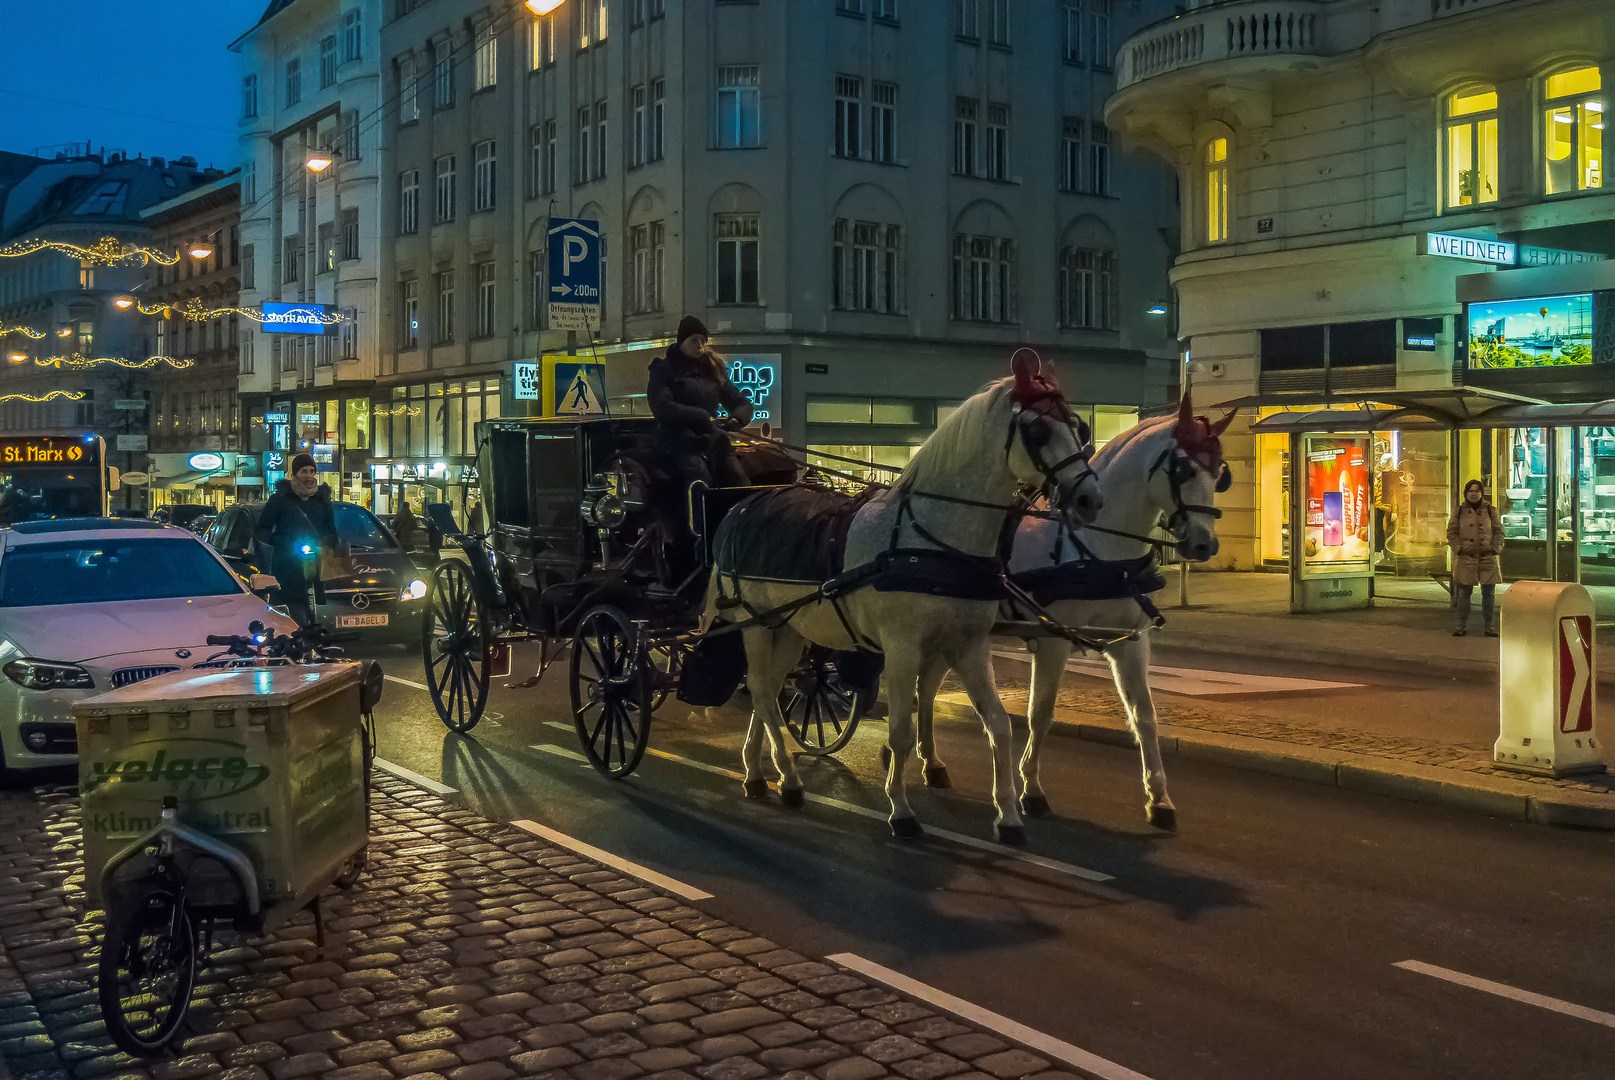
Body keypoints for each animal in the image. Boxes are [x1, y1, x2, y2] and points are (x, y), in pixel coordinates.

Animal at [700, 351, 1104, 839]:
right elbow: (900, 732)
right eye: (1039, 430)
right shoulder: (901, 648)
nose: (1089, 499)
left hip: (791, 628)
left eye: (1079, 427)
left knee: (771, 691)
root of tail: (742, 505)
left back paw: (758, 772)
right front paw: (902, 810)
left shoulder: (968, 645)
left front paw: (1008, 814)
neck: (931, 536)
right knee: (761, 689)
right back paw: (788, 780)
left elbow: (998, 724)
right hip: (756, 623)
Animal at [910, 393, 1233, 826]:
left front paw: (1159, 798)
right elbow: (1040, 714)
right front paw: (1031, 789)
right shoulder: (1053, 641)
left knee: (927, 685)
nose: (1203, 544)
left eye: (1219, 472)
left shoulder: (1130, 643)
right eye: (1182, 468)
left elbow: (1144, 717)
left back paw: (932, 763)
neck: (1097, 549)